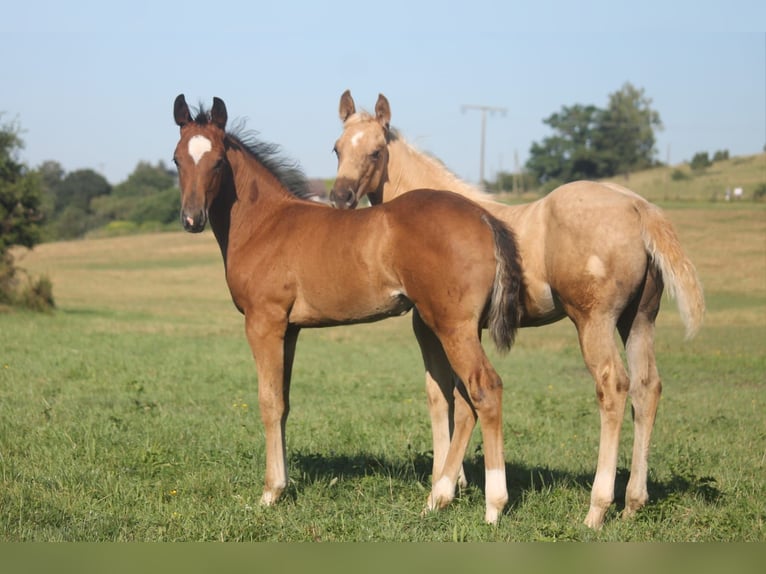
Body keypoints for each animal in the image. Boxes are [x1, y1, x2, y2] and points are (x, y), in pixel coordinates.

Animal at [171, 95, 524, 528]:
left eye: (219, 161)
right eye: (177, 160)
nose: (192, 219)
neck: (265, 223)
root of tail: (484, 216)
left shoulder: (263, 322)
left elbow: (269, 403)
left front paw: (270, 492)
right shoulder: (290, 330)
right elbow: (284, 403)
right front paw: (283, 484)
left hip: (452, 326)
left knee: (485, 390)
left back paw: (493, 505)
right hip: (452, 326)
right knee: (464, 399)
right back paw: (440, 496)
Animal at [330, 91, 708, 532]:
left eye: (376, 152)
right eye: (337, 148)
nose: (339, 198)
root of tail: (637, 207)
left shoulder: (431, 326)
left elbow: (439, 396)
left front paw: (445, 486)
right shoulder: (464, 328)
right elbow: (457, 395)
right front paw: (456, 481)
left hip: (593, 321)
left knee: (613, 386)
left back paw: (596, 509)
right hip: (639, 320)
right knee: (648, 388)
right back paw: (633, 502)